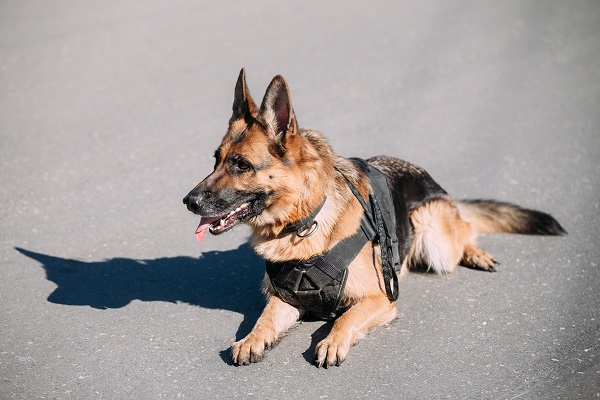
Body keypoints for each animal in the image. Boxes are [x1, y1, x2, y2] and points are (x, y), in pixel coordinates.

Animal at [183, 69, 568, 368]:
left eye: (241, 165)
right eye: (216, 160)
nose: (188, 201)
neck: (306, 222)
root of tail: (431, 180)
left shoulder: (381, 299)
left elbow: (346, 317)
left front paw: (331, 340)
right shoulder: (287, 299)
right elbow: (265, 318)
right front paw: (252, 339)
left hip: (433, 232)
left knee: (465, 228)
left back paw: (476, 252)